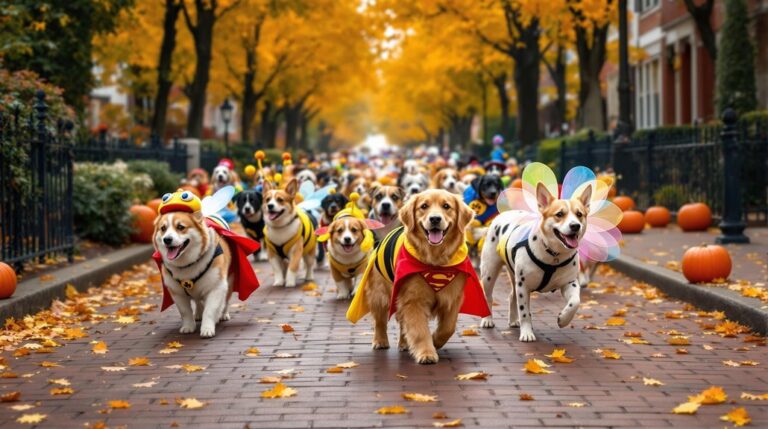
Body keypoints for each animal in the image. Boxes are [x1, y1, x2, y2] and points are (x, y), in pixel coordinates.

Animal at [476, 181, 592, 342]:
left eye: (579, 214)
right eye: (559, 214)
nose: (575, 225)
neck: (553, 254)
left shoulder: (569, 282)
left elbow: (575, 302)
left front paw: (563, 319)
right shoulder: (523, 286)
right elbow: (525, 312)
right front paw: (527, 333)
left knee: (512, 296)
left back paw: (513, 320)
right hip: (489, 272)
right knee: (488, 296)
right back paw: (487, 320)